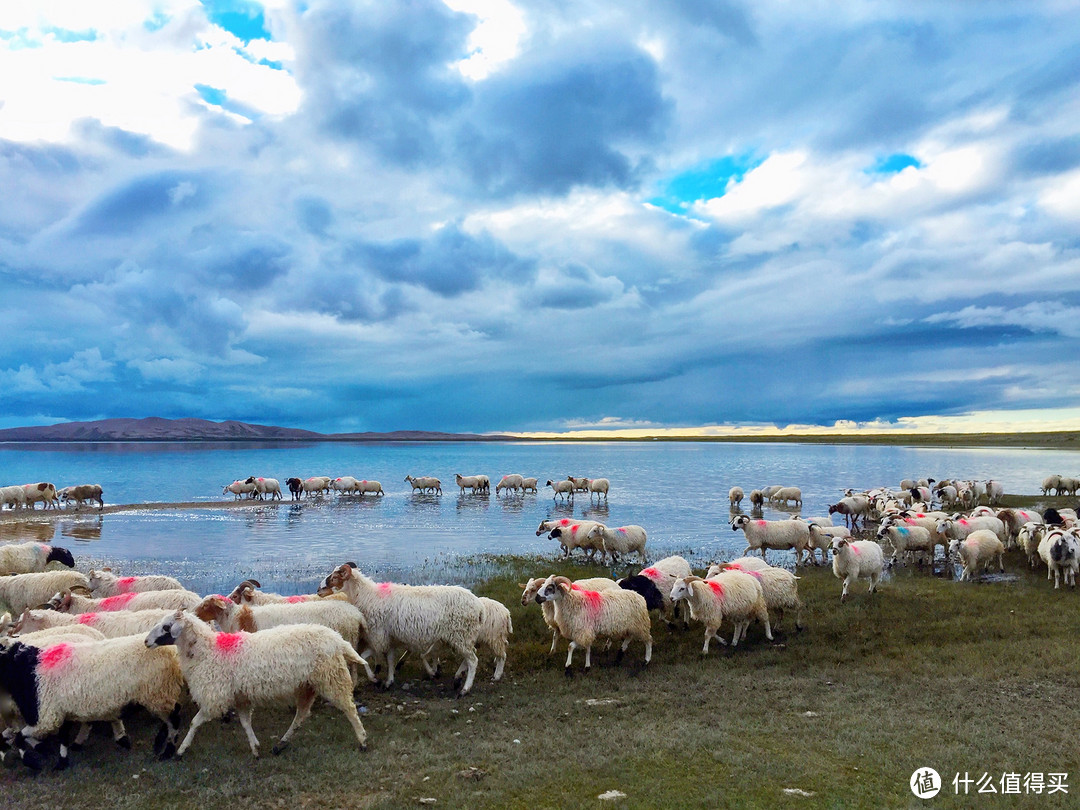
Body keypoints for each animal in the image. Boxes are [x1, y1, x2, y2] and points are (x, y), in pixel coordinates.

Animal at [145, 613, 369, 760]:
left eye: (166, 627)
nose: (146, 642)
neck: (207, 651)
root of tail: (338, 639)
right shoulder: (240, 697)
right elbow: (245, 723)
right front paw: (255, 748)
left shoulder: (215, 697)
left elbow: (194, 722)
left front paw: (181, 750)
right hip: (307, 685)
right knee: (301, 715)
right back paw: (281, 744)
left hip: (331, 677)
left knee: (349, 708)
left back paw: (362, 740)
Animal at [313, 565, 481, 699]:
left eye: (335, 577)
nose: (318, 590)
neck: (367, 596)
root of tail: (478, 606)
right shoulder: (390, 638)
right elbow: (389, 659)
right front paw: (388, 681)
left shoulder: (379, 636)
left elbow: (365, 658)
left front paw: (376, 679)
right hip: (462, 636)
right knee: (469, 657)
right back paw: (457, 678)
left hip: (461, 634)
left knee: (473, 660)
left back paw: (465, 689)